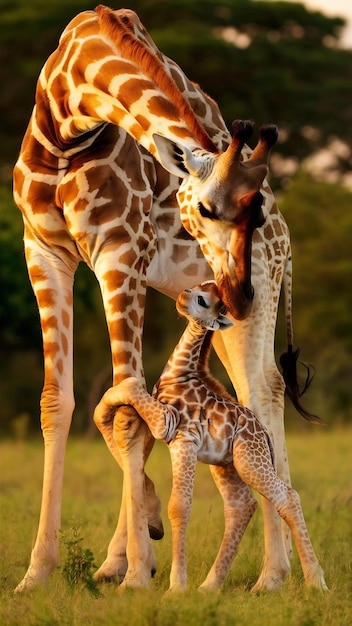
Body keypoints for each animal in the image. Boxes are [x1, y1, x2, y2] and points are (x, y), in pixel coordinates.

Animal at [94, 282, 328, 588]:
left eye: (203, 301)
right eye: (194, 288)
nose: (182, 297)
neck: (179, 373)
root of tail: (264, 436)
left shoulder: (176, 431)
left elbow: (179, 506)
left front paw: (176, 587)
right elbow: (110, 400)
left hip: (248, 461)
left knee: (287, 497)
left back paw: (315, 582)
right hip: (224, 463)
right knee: (242, 507)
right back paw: (209, 586)